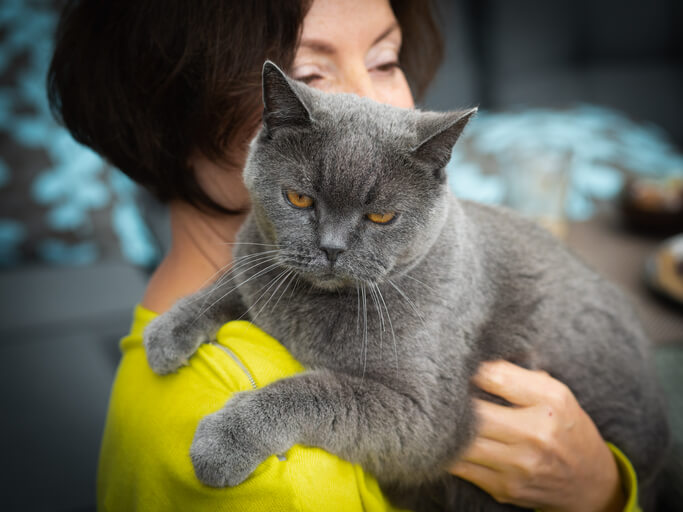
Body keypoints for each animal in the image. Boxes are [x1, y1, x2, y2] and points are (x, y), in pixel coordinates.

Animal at [142, 62, 672, 510]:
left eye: (381, 217)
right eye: (299, 199)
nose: (331, 247)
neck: (313, 307)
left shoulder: (425, 416)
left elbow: (315, 391)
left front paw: (223, 442)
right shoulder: (258, 261)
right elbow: (232, 284)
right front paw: (166, 333)